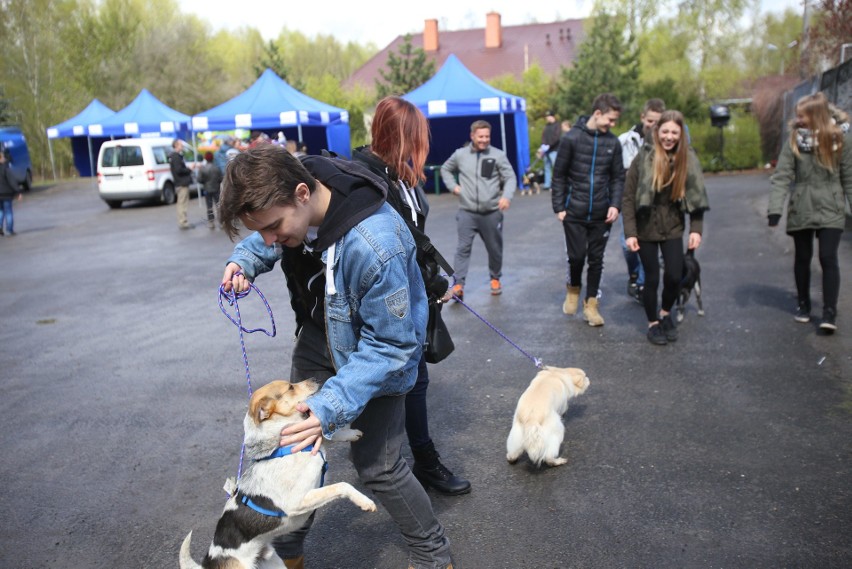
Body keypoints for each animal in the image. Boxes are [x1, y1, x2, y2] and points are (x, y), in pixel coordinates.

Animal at [180, 380, 376, 569]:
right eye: (290, 387)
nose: (315, 379)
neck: (284, 448)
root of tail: (209, 562)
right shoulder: (297, 501)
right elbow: (342, 485)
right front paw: (365, 502)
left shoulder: (309, 440)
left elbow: (323, 434)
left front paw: (349, 433)